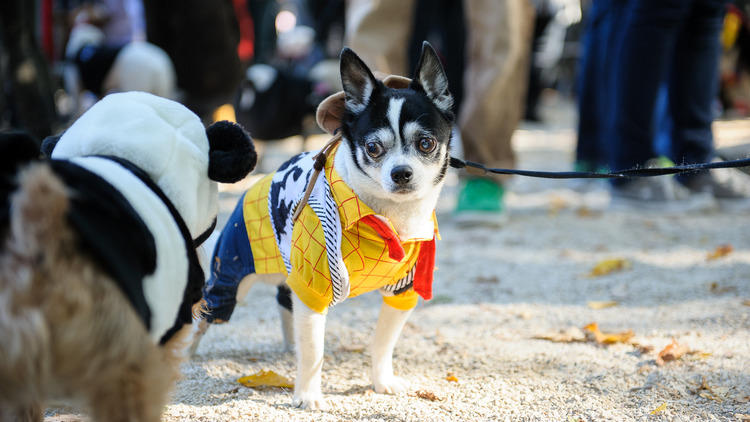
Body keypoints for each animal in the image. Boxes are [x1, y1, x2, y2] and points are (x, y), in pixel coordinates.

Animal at [191, 42, 456, 408]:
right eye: (373, 148)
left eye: (426, 143)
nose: (401, 172)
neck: (384, 217)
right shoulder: (313, 288)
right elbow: (314, 349)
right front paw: (307, 395)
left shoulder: (401, 291)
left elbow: (383, 342)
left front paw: (382, 381)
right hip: (231, 276)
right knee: (205, 316)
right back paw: (185, 355)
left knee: (285, 302)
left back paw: (290, 347)